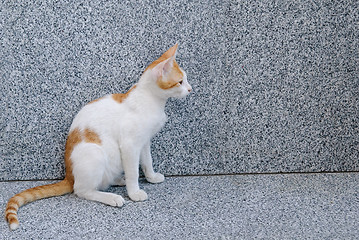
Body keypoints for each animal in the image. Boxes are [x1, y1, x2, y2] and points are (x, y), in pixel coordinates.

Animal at [4, 44, 191, 230]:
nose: (190, 89)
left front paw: (151, 177)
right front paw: (134, 192)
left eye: (186, 79)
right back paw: (112, 197)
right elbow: (133, 171)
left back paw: (119, 180)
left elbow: (147, 162)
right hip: (95, 153)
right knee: (82, 190)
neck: (152, 100)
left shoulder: (144, 141)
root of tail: (69, 176)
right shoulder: (130, 145)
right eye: (180, 82)